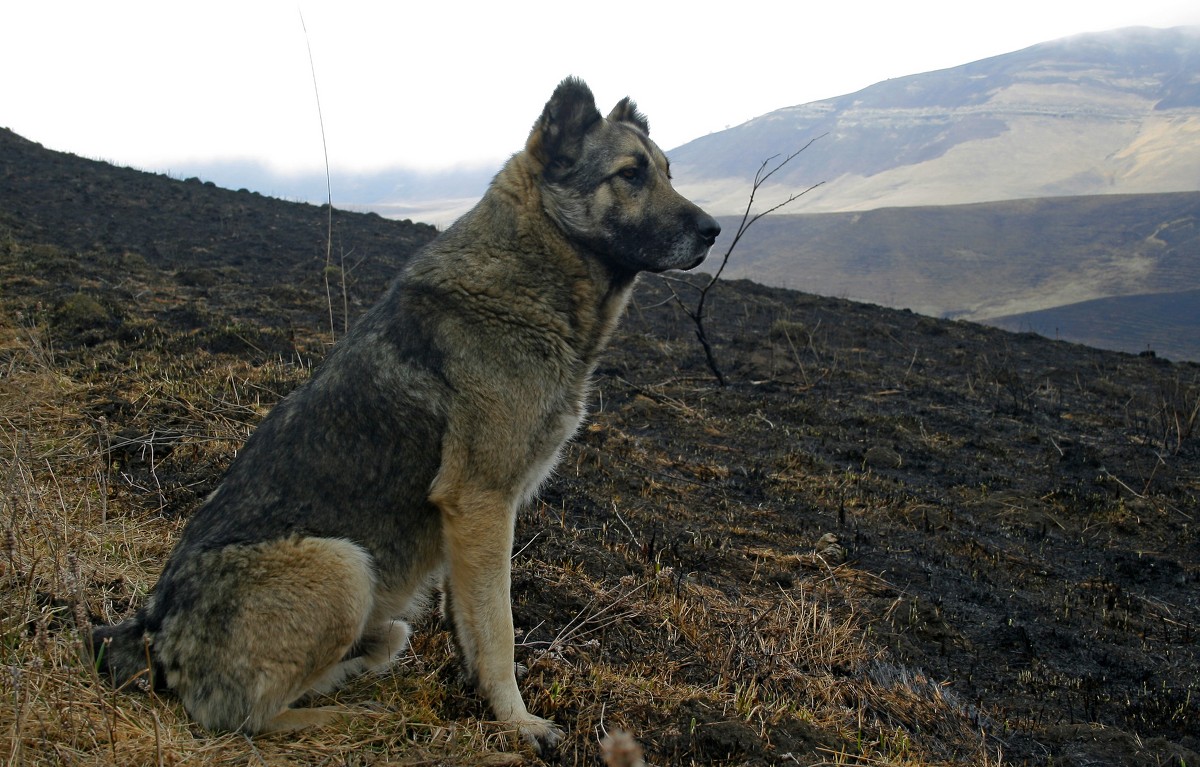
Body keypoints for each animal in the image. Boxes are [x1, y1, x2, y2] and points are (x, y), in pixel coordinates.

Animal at [91, 76, 720, 748]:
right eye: (630, 174)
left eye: (668, 172)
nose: (712, 230)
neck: (532, 269)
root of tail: (153, 631)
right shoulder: (481, 500)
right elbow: (498, 627)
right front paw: (517, 720)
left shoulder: (470, 520)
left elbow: (469, 619)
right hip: (342, 566)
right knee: (245, 718)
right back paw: (347, 717)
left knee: (370, 645)